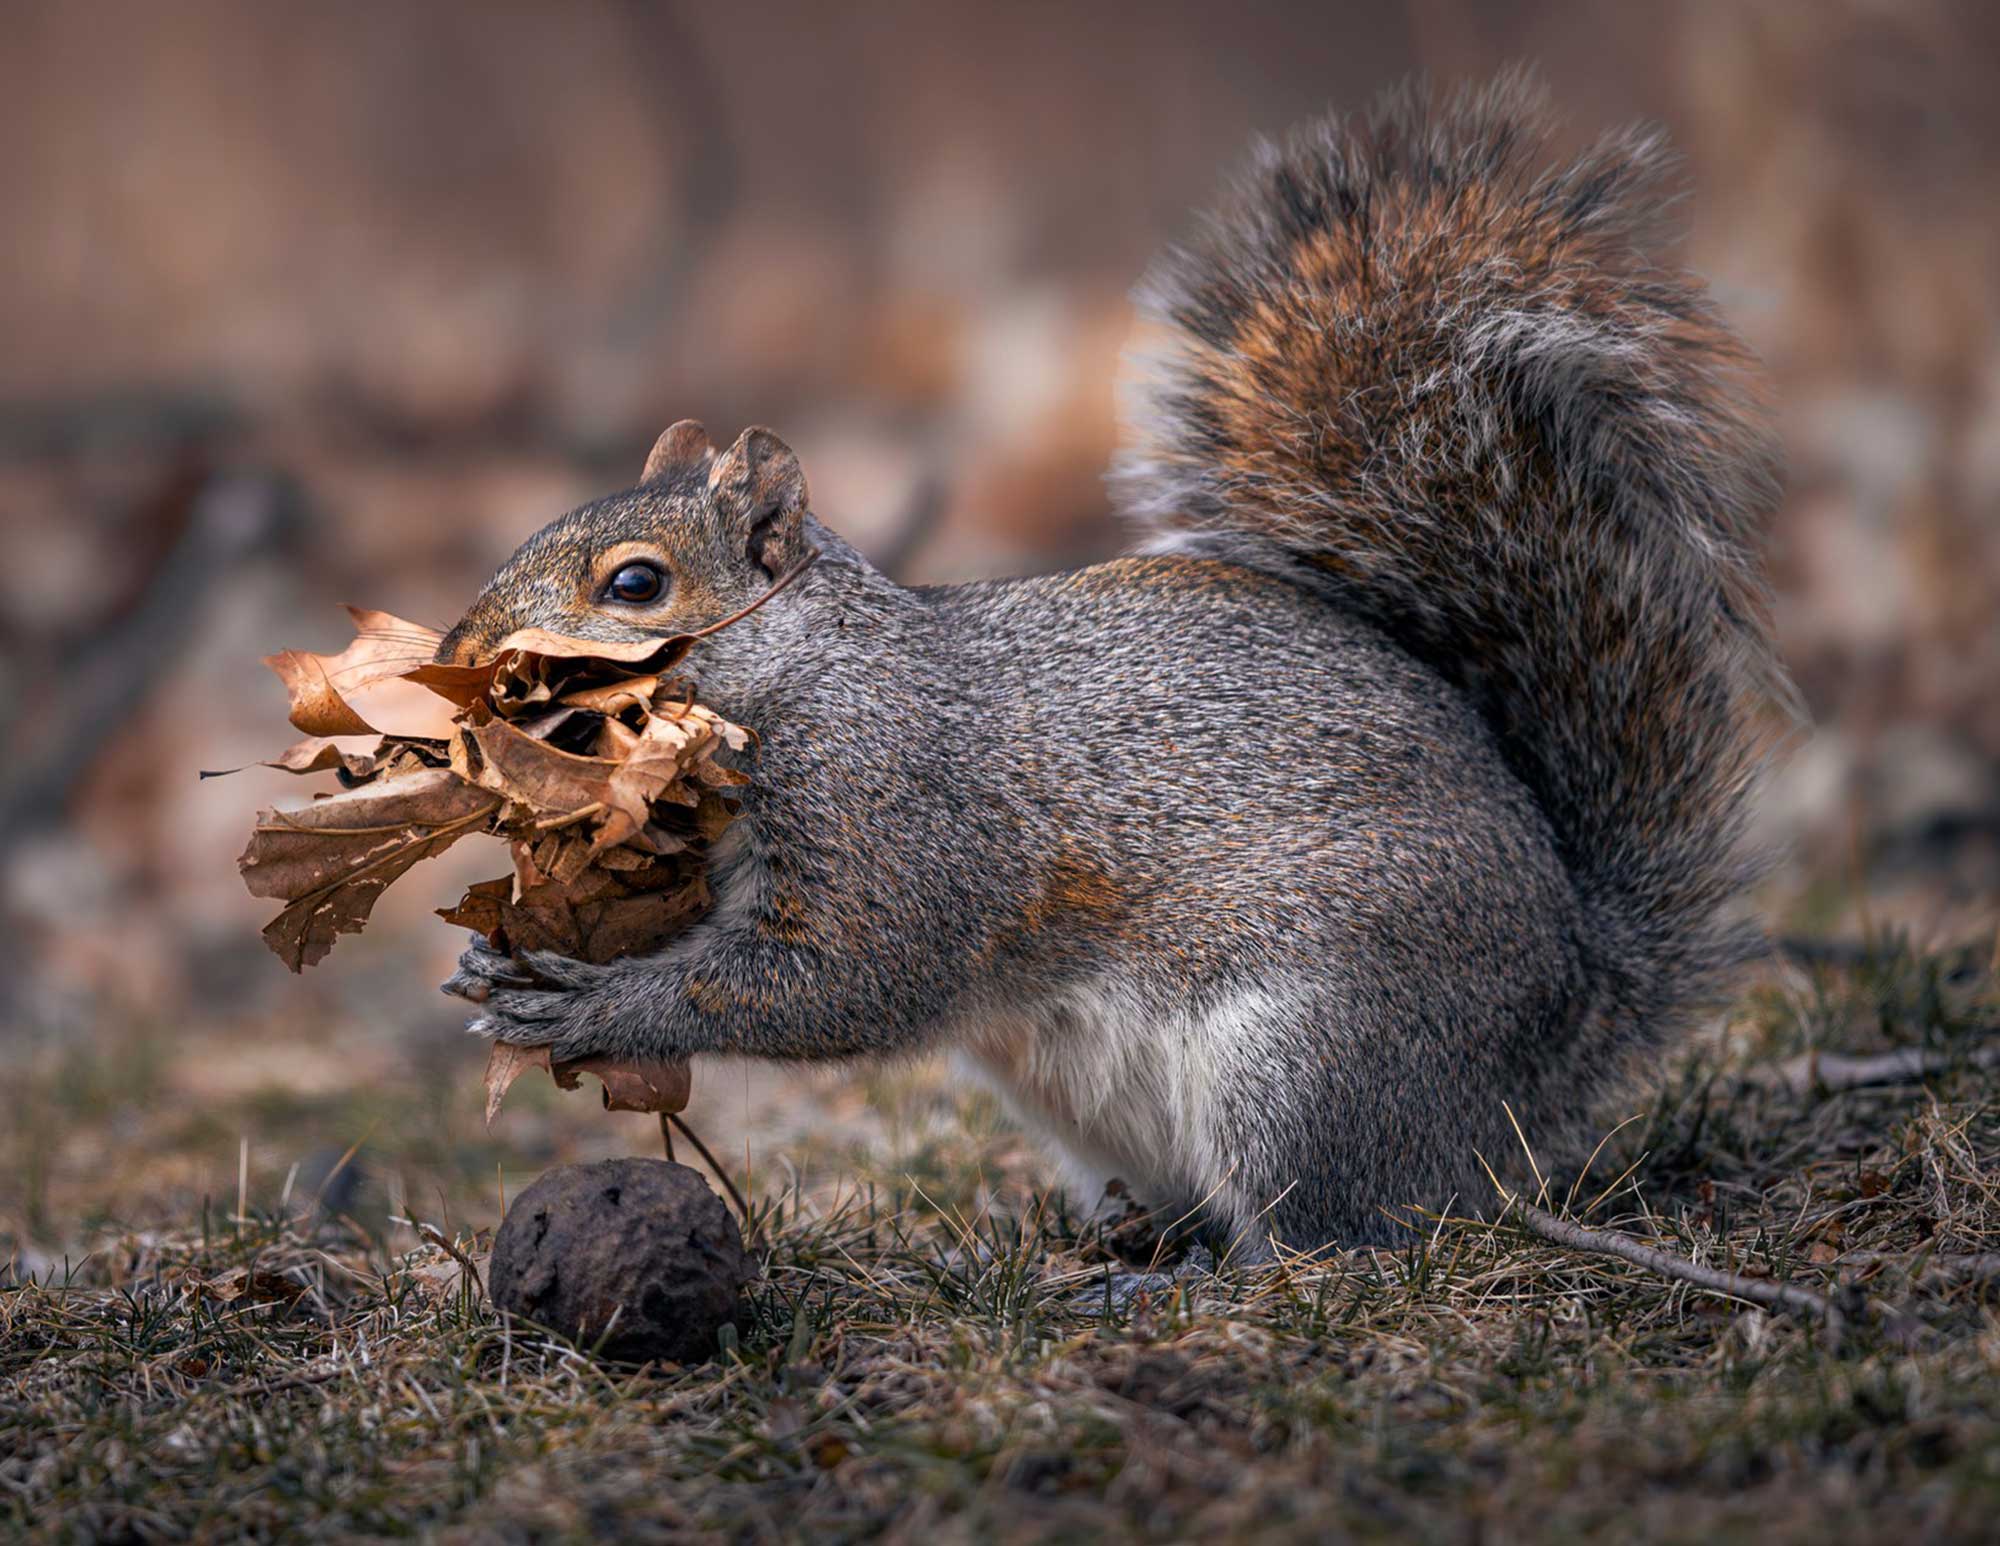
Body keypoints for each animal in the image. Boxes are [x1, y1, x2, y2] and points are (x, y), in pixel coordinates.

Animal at [439, 76, 1790, 1254]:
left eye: (634, 586)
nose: (460, 656)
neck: (806, 675)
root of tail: (1558, 1030)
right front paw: (493, 957)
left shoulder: (892, 810)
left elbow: (836, 978)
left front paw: (593, 1001)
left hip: (1307, 1056)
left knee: (1341, 1227)